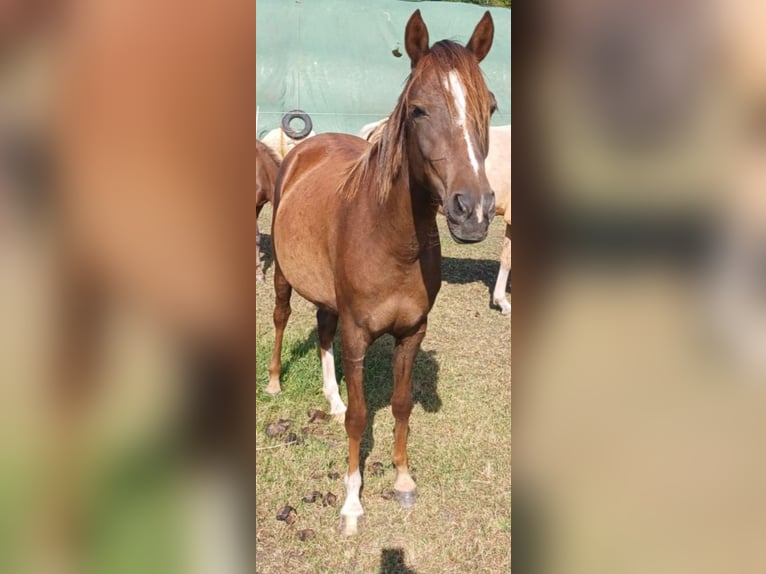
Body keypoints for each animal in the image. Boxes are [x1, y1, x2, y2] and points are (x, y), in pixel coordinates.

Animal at [268, 9, 498, 536]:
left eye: (492, 107)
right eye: (417, 110)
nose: (473, 211)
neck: (392, 243)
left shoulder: (411, 333)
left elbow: (400, 404)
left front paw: (403, 479)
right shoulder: (358, 335)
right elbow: (359, 417)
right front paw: (352, 504)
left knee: (322, 331)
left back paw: (329, 400)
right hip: (284, 279)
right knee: (281, 318)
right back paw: (272, 382)